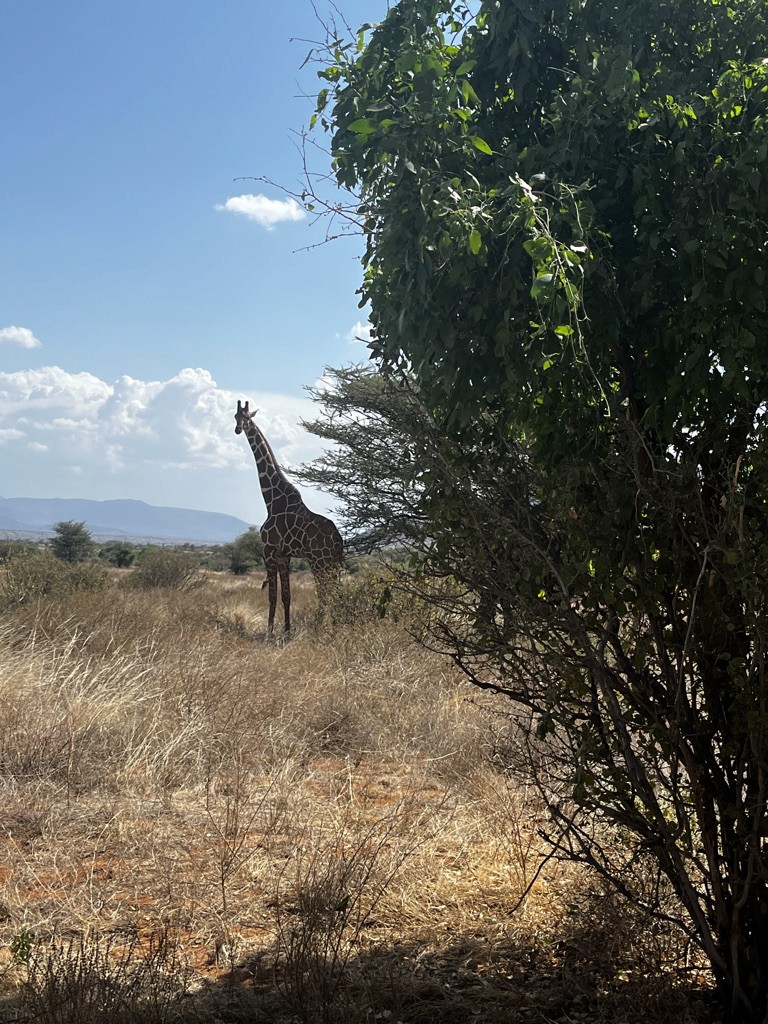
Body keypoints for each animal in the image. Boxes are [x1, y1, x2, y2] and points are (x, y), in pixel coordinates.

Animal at [233, 397, 344, 630]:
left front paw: (269, 631)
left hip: (319, 561)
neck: (271, 499)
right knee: (335, 593)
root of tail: (339, 539)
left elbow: (272, 596)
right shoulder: (284, 555)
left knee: (326, 594)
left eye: (246, 417)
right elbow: (286, 596)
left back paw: (320, 629)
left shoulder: (269, 549)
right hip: (332, 563)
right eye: (235, 416)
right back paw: (336, 627)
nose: (238, 429)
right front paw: (286, 630)